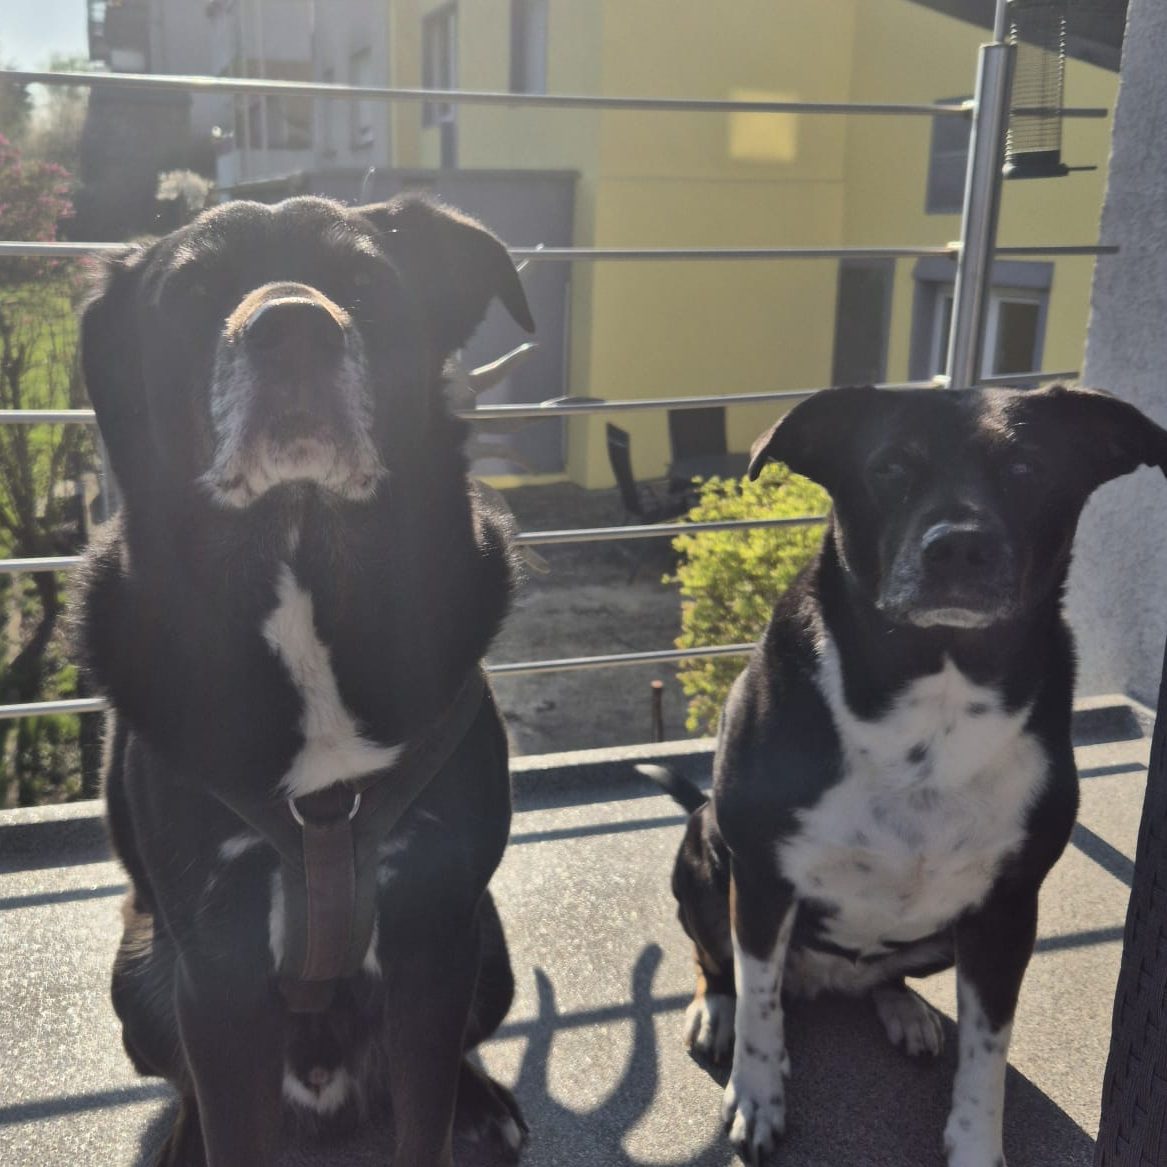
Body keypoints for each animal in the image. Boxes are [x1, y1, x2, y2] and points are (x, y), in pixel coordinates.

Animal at [75, 194, 535, 1167]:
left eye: (363, 280)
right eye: (193, 293)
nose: (292, 327)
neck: (298, 559)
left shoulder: (436, 926)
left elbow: (424, 1116)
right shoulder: (216, 961)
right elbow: (226, 1111)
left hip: (489, 944)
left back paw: (481, 1102)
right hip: (140, 971)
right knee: (185, 1081)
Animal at [647, 384, 1167, 1166]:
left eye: (1027, 467)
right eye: (889, 467)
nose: (960, 545)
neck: (935, 688)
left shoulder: (1008, 909)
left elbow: (988, 1049)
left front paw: (977, 1143)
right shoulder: (760, 880)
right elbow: (760, 1003)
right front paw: (756, 1096)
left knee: (884, 976)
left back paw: (906, 1009)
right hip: (705, 856)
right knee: (720, 959)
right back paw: (716, 1009)